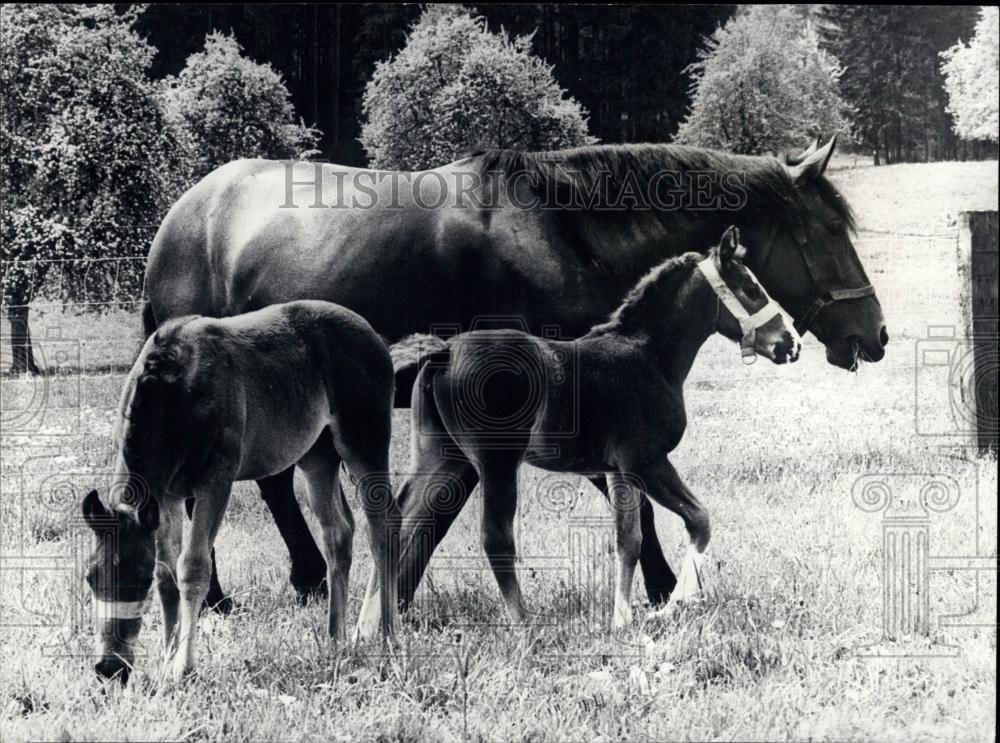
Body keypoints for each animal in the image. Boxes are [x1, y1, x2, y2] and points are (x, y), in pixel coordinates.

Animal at [82, 300, 400, 684]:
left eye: (137, 581)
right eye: (90, 577)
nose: (108, 668)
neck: (174, 394)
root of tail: (373, 336)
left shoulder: (215, 481)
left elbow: (192, 567)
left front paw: (183, 667)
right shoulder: (167, 496)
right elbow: (167, 575)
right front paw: (166, 662)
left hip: (363, 442)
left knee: (383, 526)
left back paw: (388, 638)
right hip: (318, 456)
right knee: (338, 532)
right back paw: (335, 640)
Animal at [394, 227, 800, 628]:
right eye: (750, 288)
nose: (791, 344)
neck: (647, 357)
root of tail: (444, 352)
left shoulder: (619, 470)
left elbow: (631, 539)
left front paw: (625, 618)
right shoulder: (646, 461)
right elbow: (693, 520)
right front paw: (671, 605)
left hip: (441, 458)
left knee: (401, 520)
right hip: (496, 463)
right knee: (495, 538)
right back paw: (525, 625)